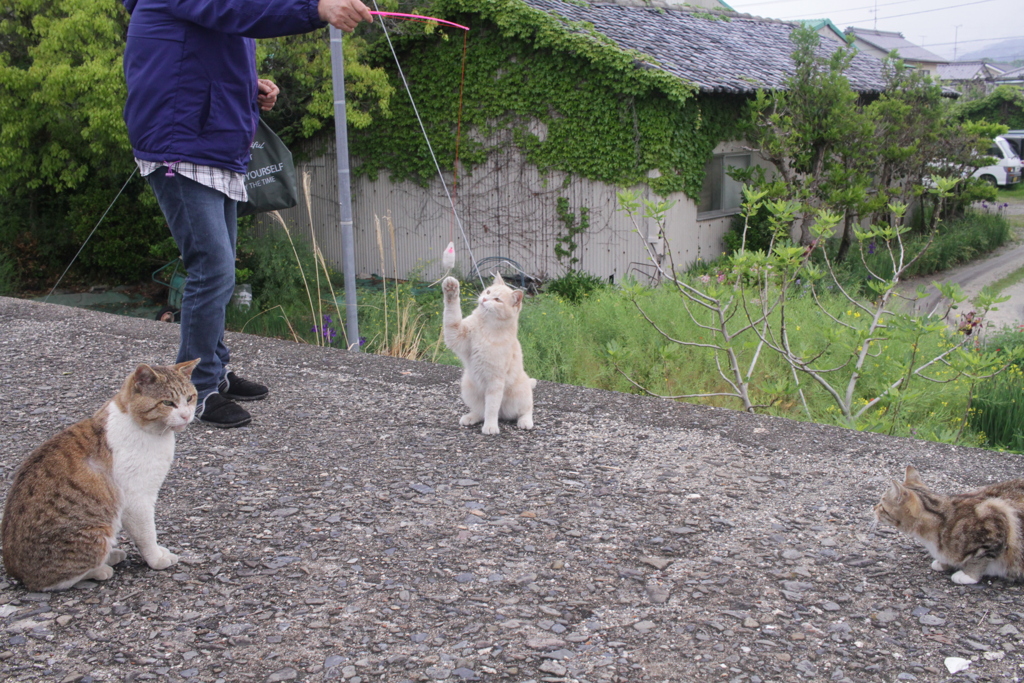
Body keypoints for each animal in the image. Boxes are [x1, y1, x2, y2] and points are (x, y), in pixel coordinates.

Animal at [2, 360, 198, 589]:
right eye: (168, 402)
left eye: (189, 398)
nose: (186, 415)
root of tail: (17, 573)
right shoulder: (136, 499)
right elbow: (147, 534)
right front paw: (156, 557)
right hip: (97, 531)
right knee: (57, 581)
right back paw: (101, 568)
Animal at [440, 274, 536, 436]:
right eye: (488, 292)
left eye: (497, 300)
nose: (484, 299)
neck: (485, 328)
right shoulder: (455, 333)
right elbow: (452, 314)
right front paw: (451, 290)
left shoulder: (494, 381)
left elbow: (491, 408)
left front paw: (490, 427)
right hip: (468, 387)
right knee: (480, 411)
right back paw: (470, 417)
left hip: (520, 396)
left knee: (526, 410)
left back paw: (525, 422)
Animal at [872, 466, 1024, 585]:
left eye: (882, 506)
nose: (873, 508)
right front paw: (944, 563)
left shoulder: (995, 519)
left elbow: (981, 558)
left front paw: (968, 575)